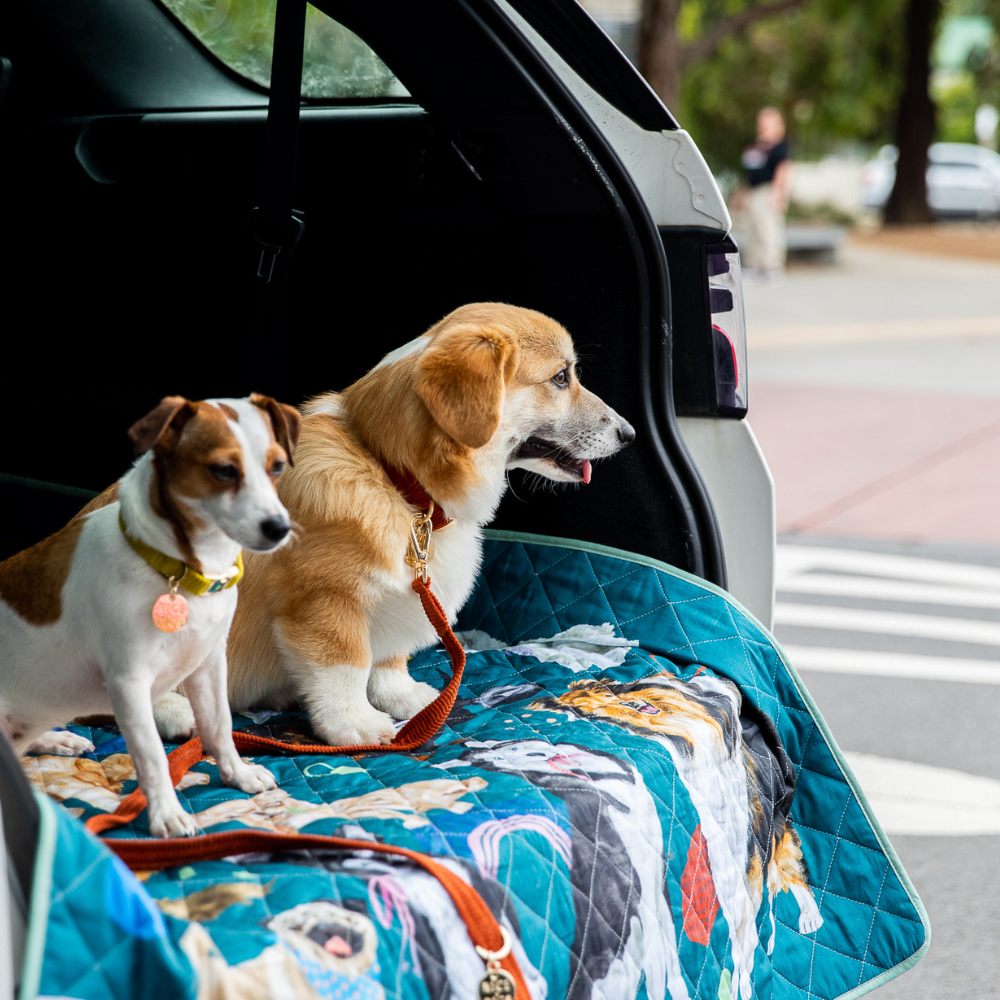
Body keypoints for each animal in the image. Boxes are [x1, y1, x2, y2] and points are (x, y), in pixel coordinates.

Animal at [0, 390, 300, 836]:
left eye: (277, 467)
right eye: (223, 470)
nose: (279, 528)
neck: (179, 572)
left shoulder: (209, 665)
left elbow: (220, 726)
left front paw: (238, 774)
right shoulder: (129, 684)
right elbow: (153, 755)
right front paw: (166, 814)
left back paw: (57, 739)